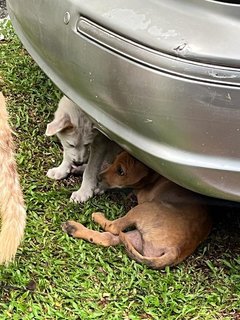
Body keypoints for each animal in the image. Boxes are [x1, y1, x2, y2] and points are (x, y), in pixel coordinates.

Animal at [63, 151, 212, 268]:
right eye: (115, 160)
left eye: (121, 171)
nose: (99, 177)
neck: (155, 177)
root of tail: (175, 251)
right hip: (137, 239)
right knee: (107, 238)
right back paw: (73, 228)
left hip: (144, 209)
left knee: (113, 227)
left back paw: (96, 217)